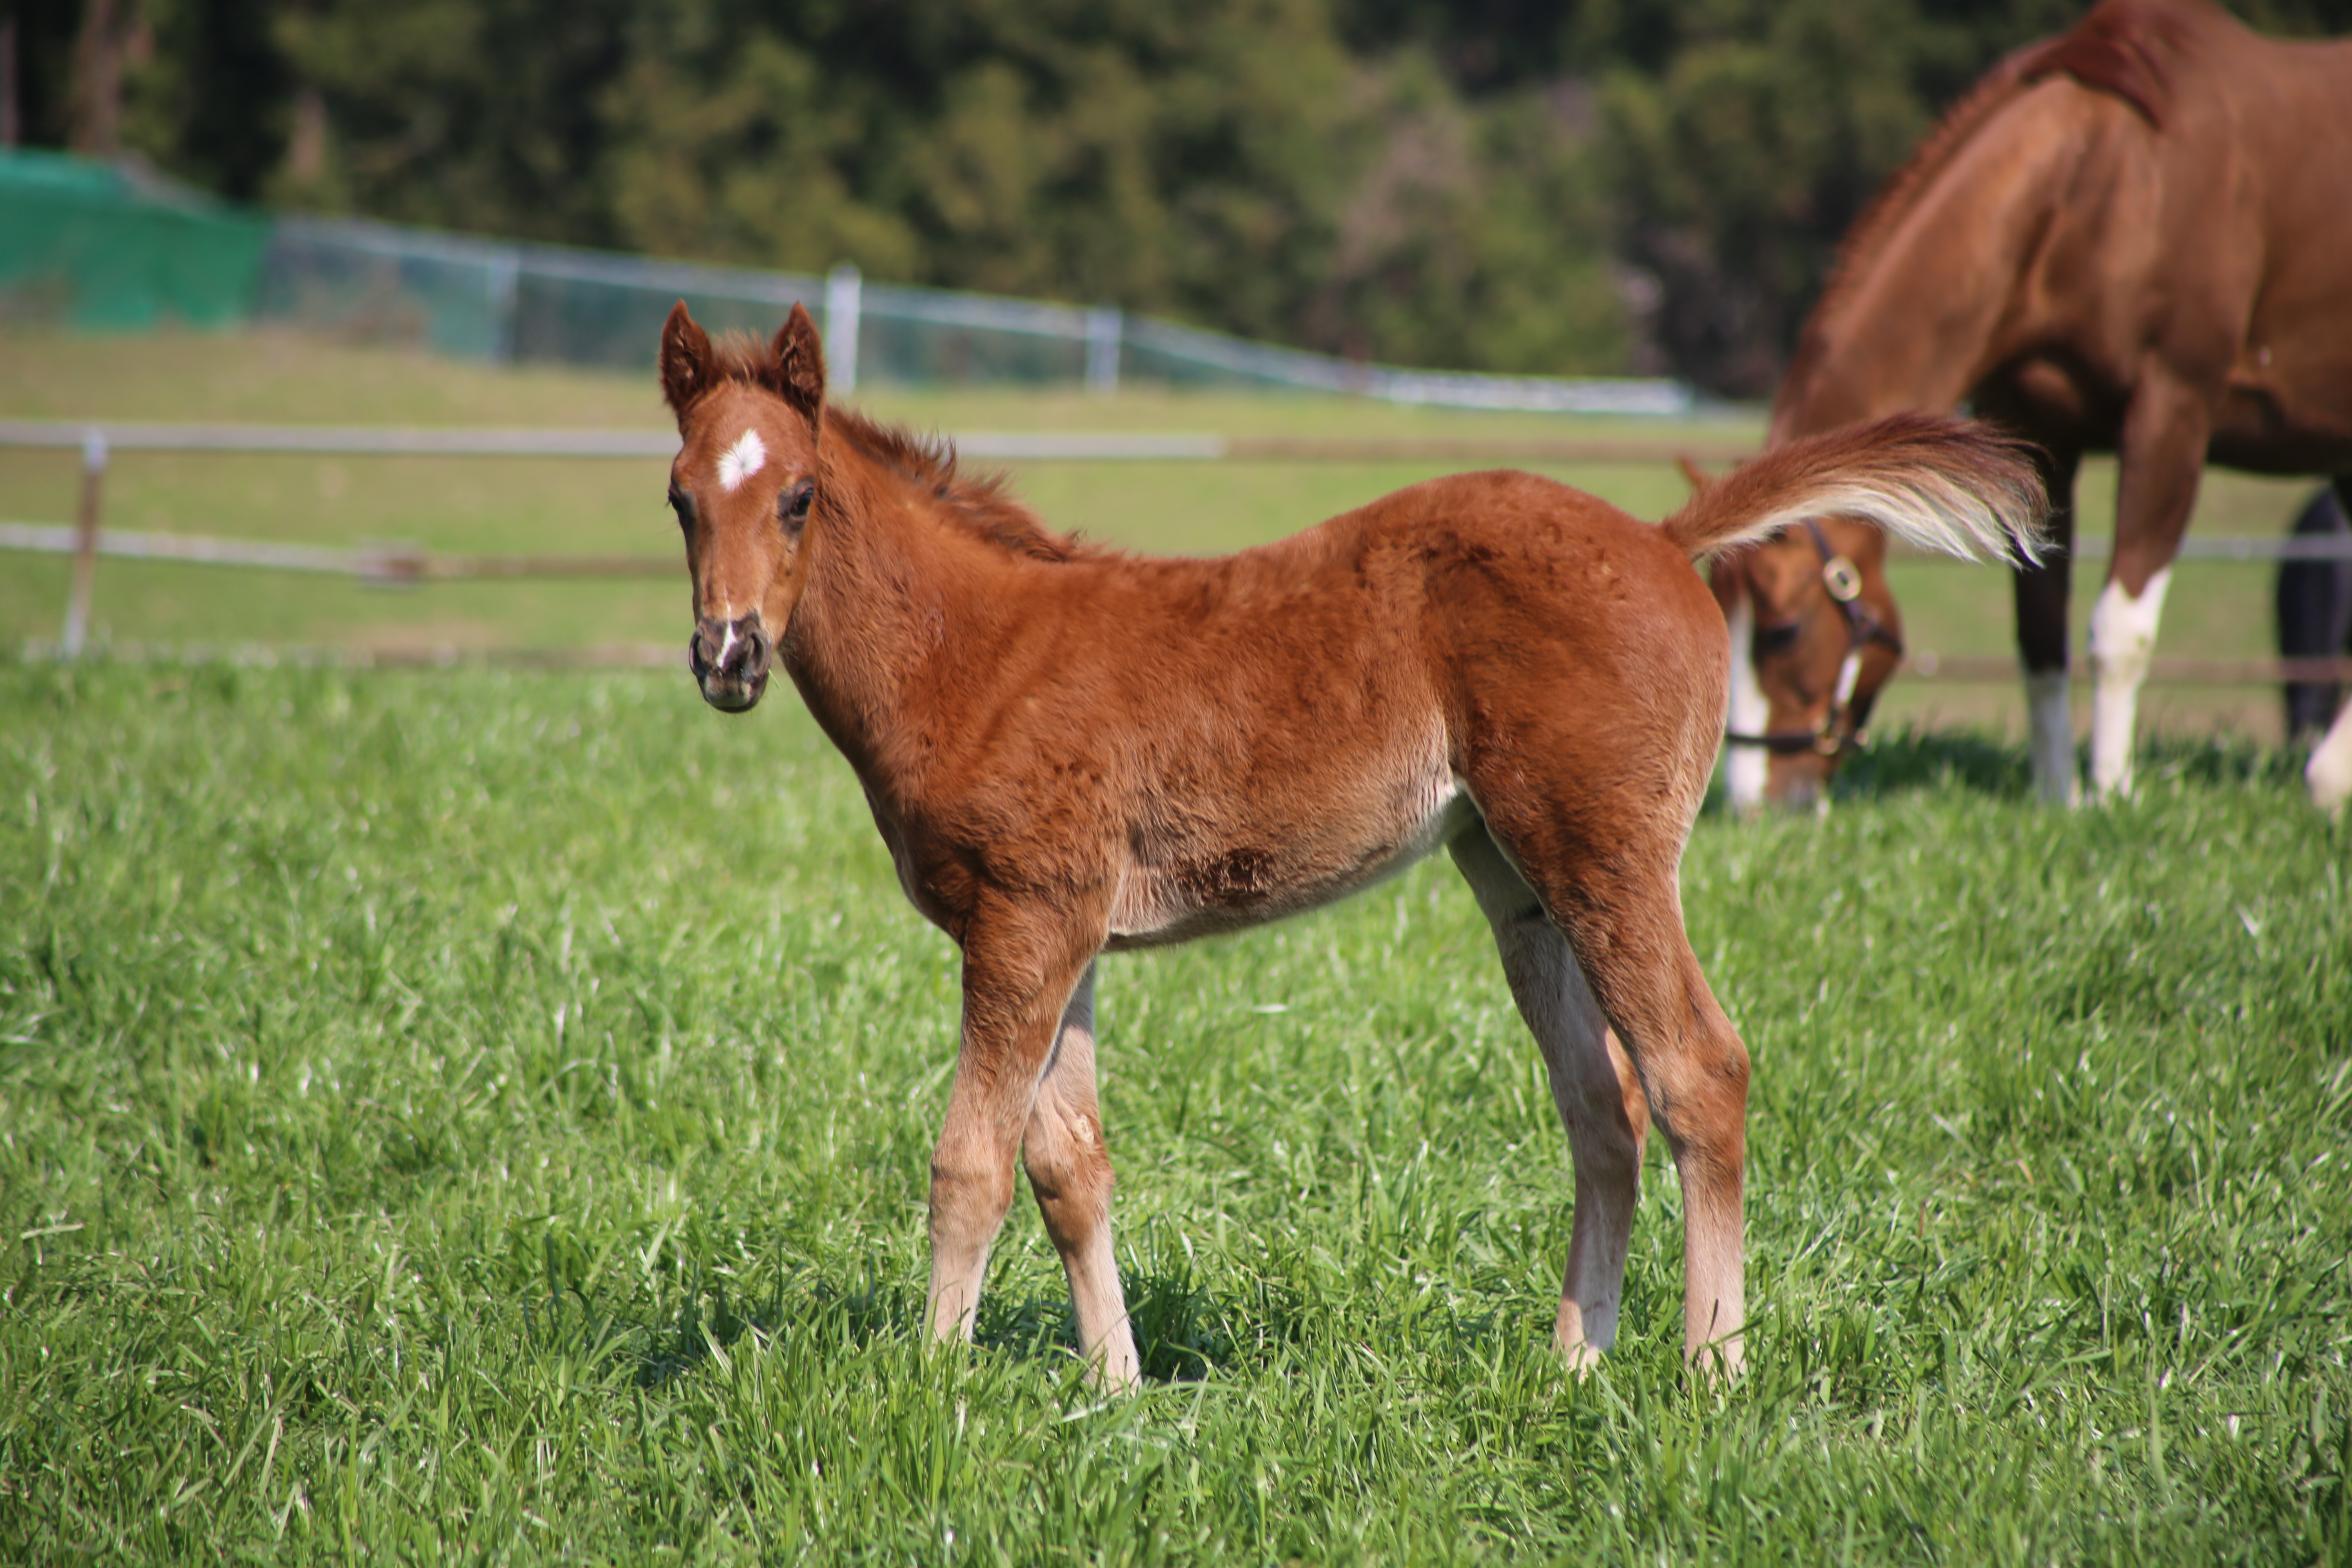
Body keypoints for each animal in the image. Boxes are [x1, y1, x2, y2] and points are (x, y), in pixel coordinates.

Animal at [658, 297, 2041, 1382]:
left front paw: (936, 1388)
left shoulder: (1022, 924)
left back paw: (1711, 1371)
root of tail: (1660, 539)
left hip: (1607, 856)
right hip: (1519, 878)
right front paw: (1116, 1392)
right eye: (679, 501)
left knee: (1699, 1070)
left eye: (798, 497)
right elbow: (1070, 1166)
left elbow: (972, 1163)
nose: (727, 657)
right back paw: (1573, 1366)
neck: (974, 656)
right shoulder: (1064, 932)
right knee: (1604, 1108)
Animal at [1712, 0, 2352, 808]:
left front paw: (2111, 796)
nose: (1753, 801)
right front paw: (2055, 800)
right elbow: (2039, 631)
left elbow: (2119, 631)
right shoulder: (2036, 431)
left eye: (1783, 631)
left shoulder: (2172, 413)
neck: (2100, 184)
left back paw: (2325, 782)